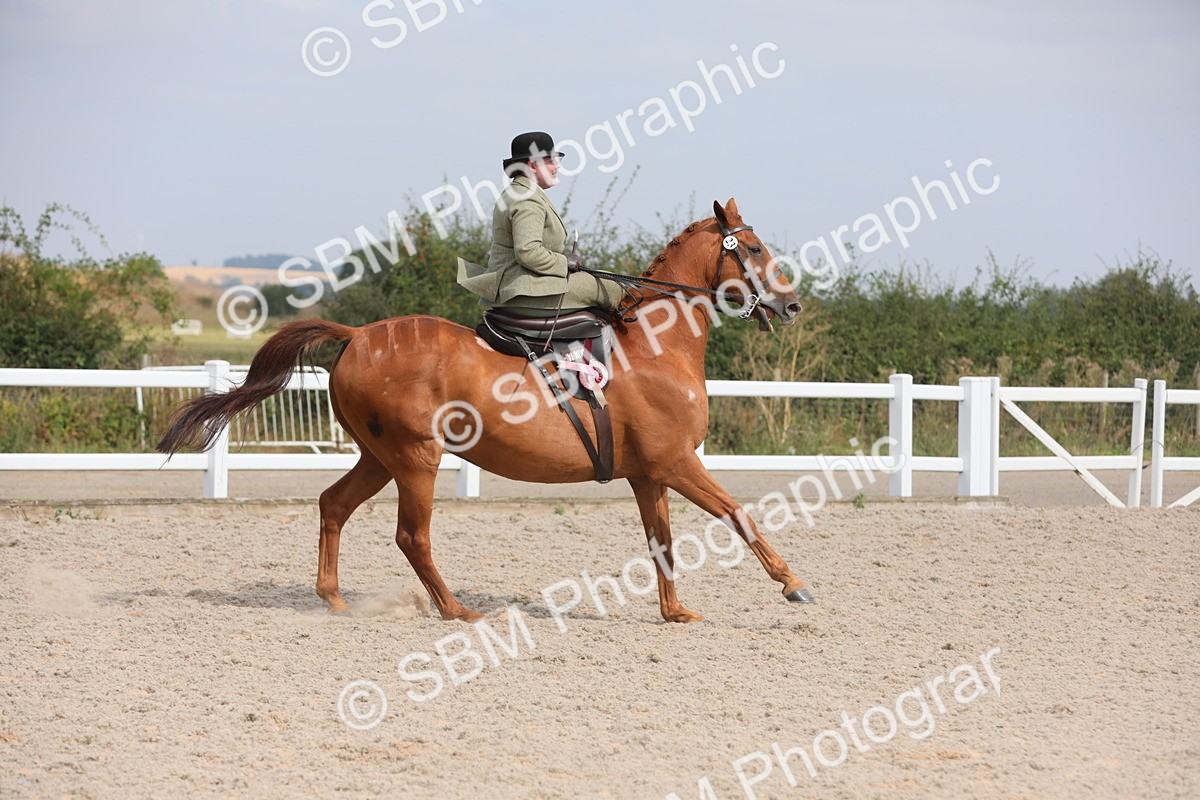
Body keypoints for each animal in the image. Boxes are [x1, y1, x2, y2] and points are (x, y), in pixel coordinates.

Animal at [157, 198, 815, 623]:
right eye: (754, 248)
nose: (791, 307)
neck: (655, 345)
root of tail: (360, 334)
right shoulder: (677, 464)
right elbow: (739, 515)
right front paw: (793, 586)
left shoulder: (650, 475)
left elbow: (664, 542)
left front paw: (675, 612)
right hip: (414, 458)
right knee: (411, 535)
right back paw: (455, 610)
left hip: (379, 456)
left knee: (334, 506)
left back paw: (337, 600)